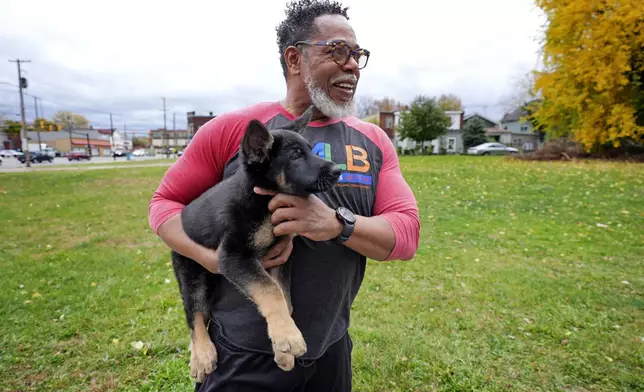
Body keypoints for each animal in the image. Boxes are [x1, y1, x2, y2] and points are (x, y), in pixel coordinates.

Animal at [170, 105, 342, 382]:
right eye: (296, 156)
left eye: (310, 150)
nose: (338, 170)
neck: (265, 201)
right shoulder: (233, 256)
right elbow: (270, 290)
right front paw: (288, 336)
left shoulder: (281, 256)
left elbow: (284, 297)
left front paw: (282, 347)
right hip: (190, 272)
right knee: (194, 314)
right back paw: (202, 354)